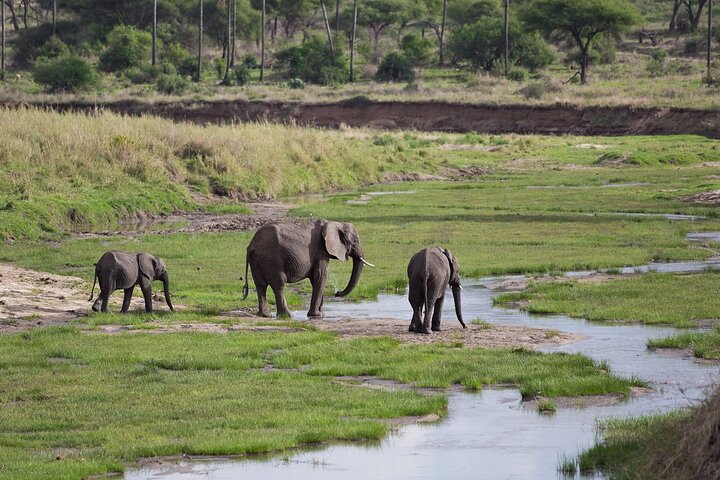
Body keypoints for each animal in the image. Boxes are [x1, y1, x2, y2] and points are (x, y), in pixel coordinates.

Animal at [242, 219, 373, 319]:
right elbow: (320, 277)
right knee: (278, 285)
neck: (333, 223)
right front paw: (316, 315)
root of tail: (251, 246)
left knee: (260, 286)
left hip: (258, 261)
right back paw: (287, 316)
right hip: (272, 260)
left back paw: (265, 315)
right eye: (354, 241)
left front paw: (322, 314)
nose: (337, 292)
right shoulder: (321, 252)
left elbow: (316, 279)